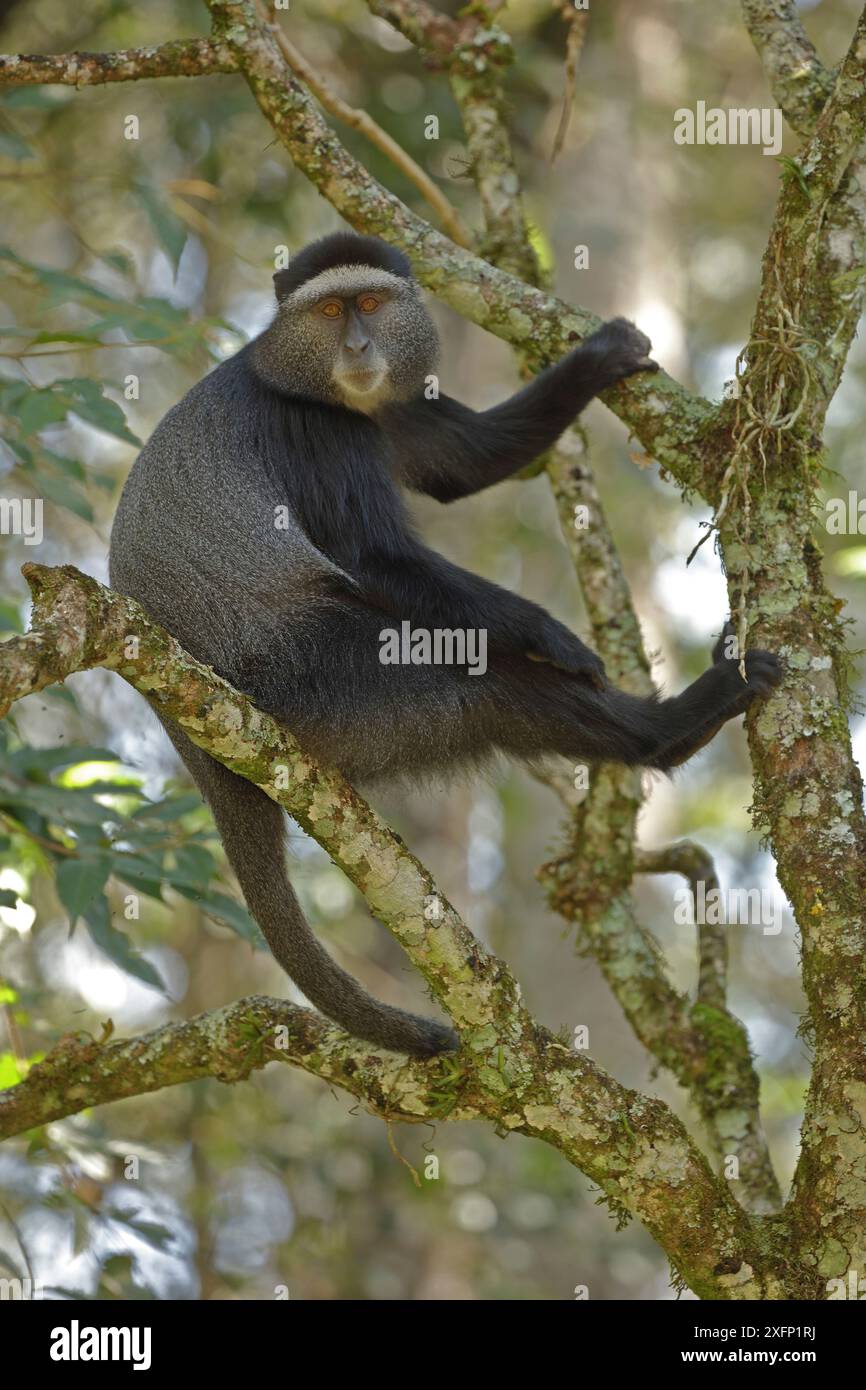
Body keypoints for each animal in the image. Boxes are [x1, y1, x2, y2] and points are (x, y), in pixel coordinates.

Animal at [109, 231, 781, 1059]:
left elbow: (463, 460)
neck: (311, 381)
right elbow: (374, 557)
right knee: (484, 682)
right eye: (329, 312)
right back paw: (673, 727)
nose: (358, 346)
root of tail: (194, 739)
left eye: (369, 304)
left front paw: (602, 355)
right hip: (315, 677)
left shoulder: (386, 407)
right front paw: (550, 631)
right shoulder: (319, 435)